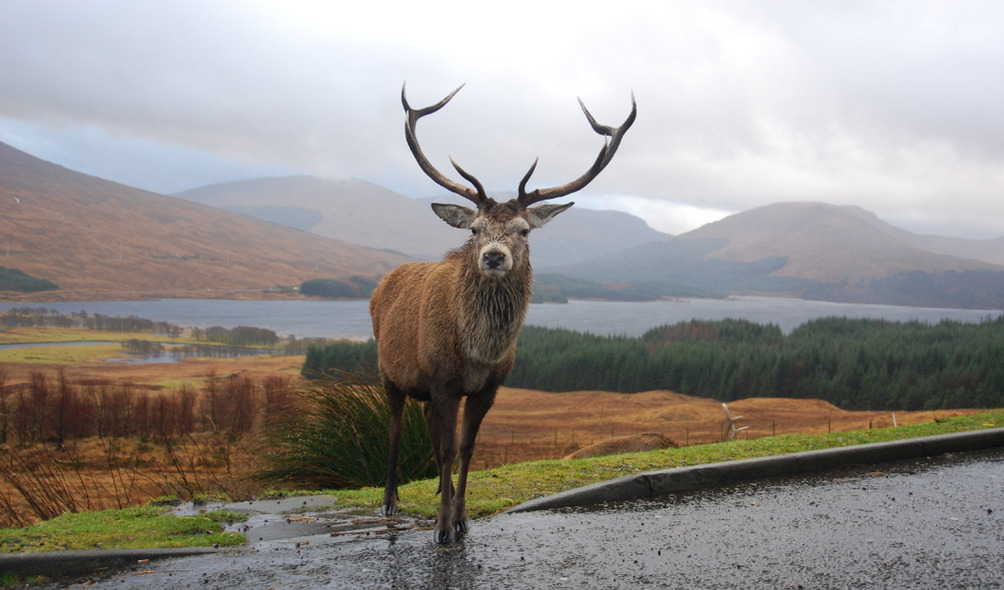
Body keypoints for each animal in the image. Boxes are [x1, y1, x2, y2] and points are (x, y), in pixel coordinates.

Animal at [369, 84, 634, 545]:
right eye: (475, 229)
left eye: (523, 230)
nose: (493, 256)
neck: (477, 353)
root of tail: (383, 282)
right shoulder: (441, 379)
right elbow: (447, 449)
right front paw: (441, 528)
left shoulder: (488, 387)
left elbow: (467, 448)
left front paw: (460, 518)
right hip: (389, 373)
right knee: (396, 427)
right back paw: (390, 500)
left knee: (429, 426)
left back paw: (438, 490)